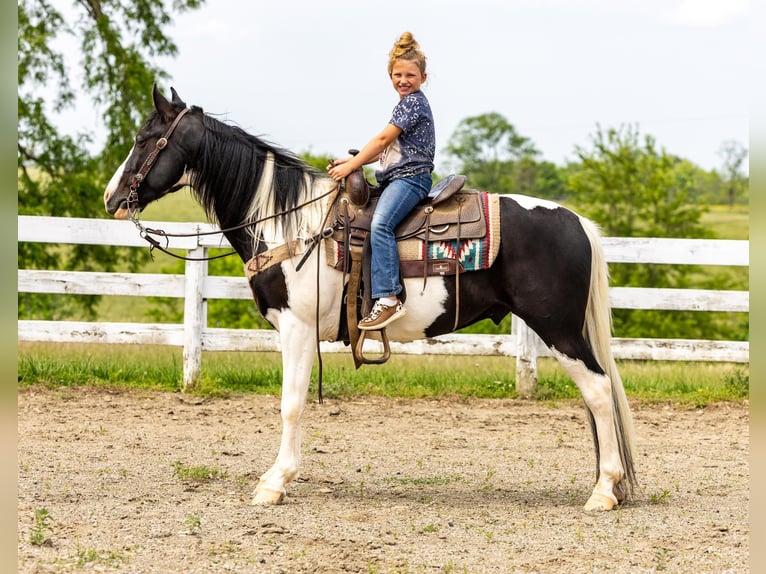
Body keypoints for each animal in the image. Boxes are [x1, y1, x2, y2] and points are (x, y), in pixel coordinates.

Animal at [105, 86, 640, 512]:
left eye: (144, 140)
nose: (111, 199)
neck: (288, 223)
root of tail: (577, 221)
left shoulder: (297, 328)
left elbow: (291, 404)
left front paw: (275, 484)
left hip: (559, 329)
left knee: (599, 391)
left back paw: (603, 491)